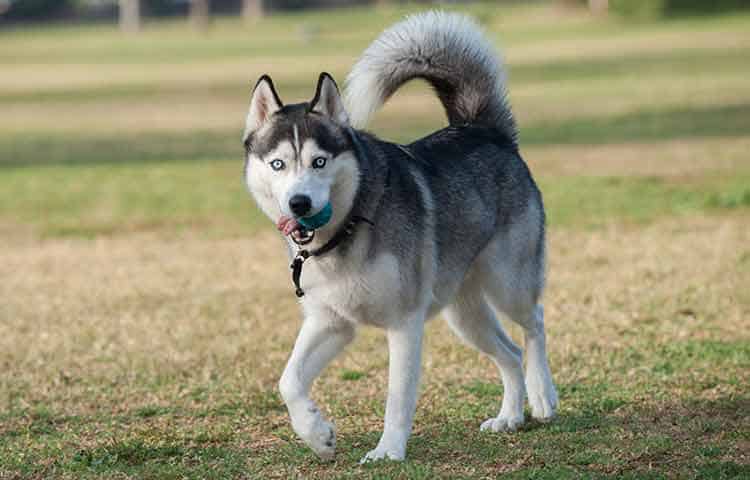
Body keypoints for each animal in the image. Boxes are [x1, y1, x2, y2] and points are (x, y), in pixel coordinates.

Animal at [242, 10, 560, 462]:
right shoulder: (331, 321)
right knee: (510, 353)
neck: (351, 225)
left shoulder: (404, 323)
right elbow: (289, 381)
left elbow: (396, 396)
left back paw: (543, 396)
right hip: (464, 314)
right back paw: (511, 417)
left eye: (319, 162)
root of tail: (482, 130)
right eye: (277, 164)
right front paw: (318, 435)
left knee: (535, 323)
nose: (299, 203)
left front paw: (388, 451)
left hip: (508, 283)